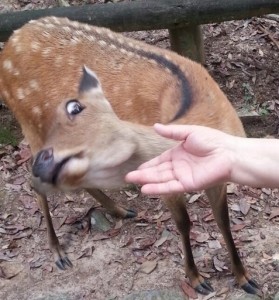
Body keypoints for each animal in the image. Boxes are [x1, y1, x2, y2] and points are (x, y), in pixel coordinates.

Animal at [0, 16, 262, 296]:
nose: (44, 164)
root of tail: (12, 41)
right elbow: (184, 223)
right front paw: (196, 279)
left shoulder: (217, 177)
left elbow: (223, 221)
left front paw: (245, 278)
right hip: (29, 124)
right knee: (35, 186)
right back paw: (58, 251)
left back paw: (120, 210)